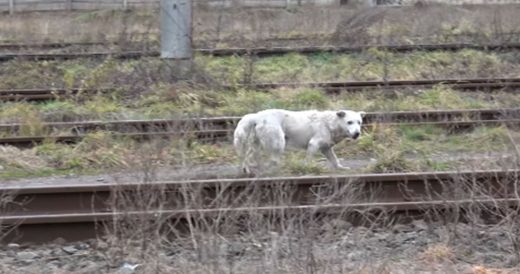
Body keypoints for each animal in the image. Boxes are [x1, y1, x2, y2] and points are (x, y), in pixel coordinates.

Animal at [234, 108, 364, 174]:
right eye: (349, 122)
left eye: (359, 122)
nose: (357, 134)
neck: (330, 123)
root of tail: (256, 116)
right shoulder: (313, 143)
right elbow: (309, 160)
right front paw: (307, 169)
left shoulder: (326, 147)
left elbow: (334, 160)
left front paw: (341, 168)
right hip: (279, 141)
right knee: (272, 160)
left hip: (257, 143)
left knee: (249, 156)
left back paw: (248, 169)